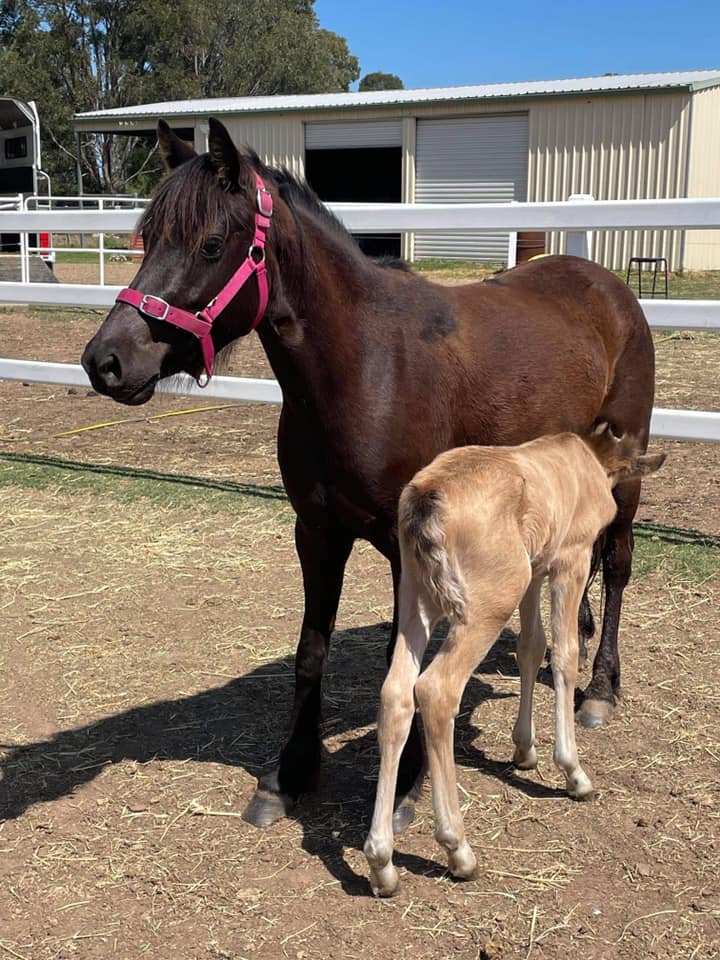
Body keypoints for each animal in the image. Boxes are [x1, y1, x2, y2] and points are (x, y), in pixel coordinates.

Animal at [81, 118, 656, 824]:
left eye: (212, 243)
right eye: (147, 237)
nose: (106, 360)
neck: (365, 367)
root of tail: (604, 281)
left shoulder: (402, 545)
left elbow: (401, 665)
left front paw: (405, 785)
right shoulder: (317, 532)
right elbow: (311, 651)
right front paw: (290, 772)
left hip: (626, 470)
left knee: (619, 563)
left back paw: (600, 686)